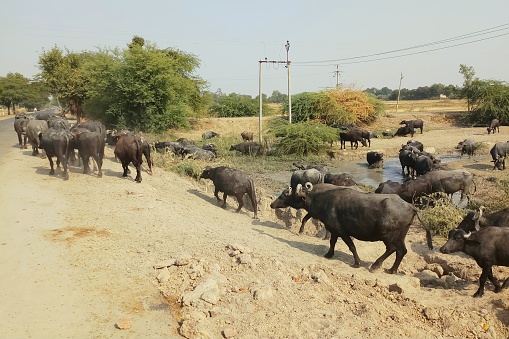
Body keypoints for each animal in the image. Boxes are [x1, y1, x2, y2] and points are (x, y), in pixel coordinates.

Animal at [286, 183, 432, 274]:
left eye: (294, 195)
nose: (285, 199)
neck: (325, 202)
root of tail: (410, 206)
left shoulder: (343, 232)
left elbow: (352, 247)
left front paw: (357, 263)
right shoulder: (335, 231)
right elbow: (332, 242)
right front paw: (329, 254)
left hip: (386, 235)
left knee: (392, 248)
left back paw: (375, 265)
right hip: (401, 235)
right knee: (402, 251)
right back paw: (392, 270)